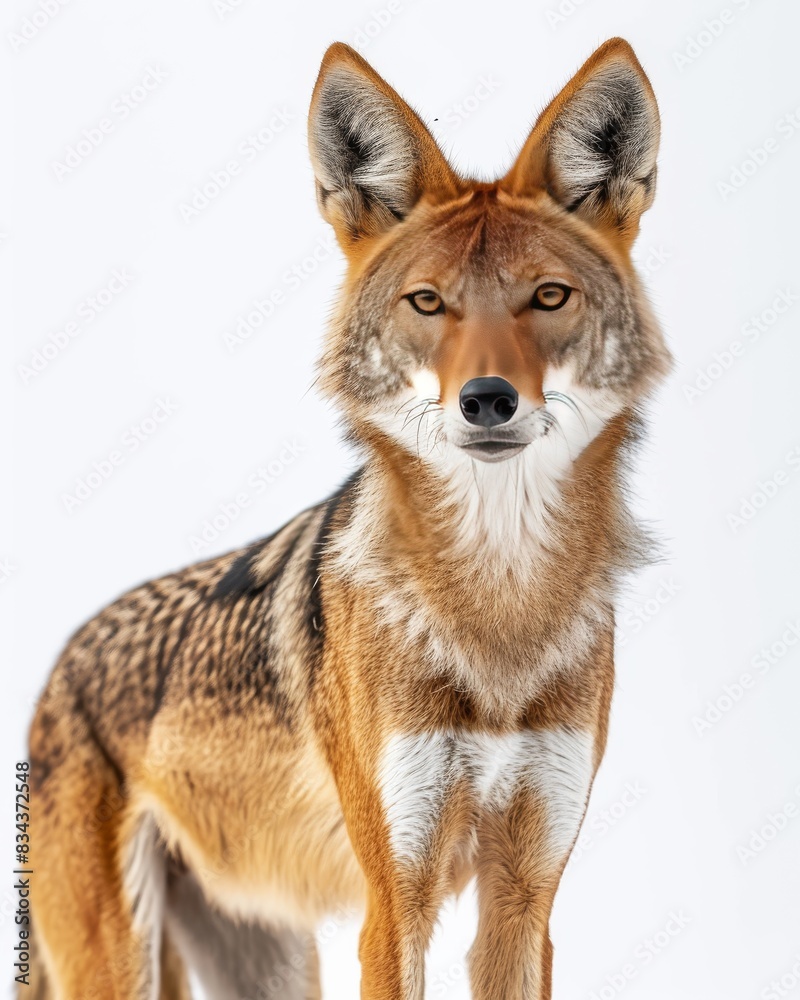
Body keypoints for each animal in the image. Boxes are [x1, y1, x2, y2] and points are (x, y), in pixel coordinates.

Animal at [26, 37, 670, 1000]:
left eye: (549, 298)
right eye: (428, 302)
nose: (488, 399)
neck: (498, 609)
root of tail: (62, 662)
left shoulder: (525, 902)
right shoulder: (393, 905)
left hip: (270, 962)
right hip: (119, 965)